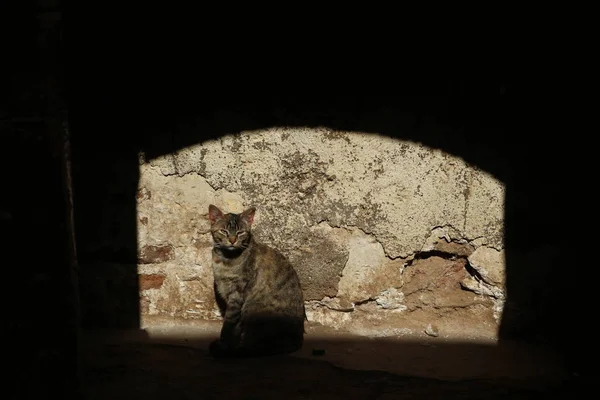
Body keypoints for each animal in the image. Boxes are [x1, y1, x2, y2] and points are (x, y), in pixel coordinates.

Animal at [209, 205, 308, 358]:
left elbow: (228, 325)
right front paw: (230, 344)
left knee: (255, 348)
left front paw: (223, 345)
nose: (232, 240)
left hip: (252, 310)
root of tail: (297, 341)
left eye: (240, 232)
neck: (225, 259)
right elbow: (236, 328)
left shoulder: (236, 296)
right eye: (224, 231)